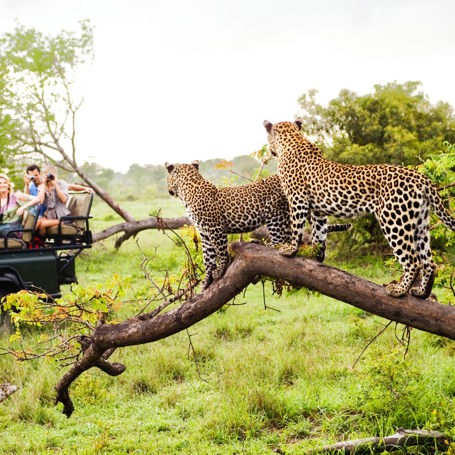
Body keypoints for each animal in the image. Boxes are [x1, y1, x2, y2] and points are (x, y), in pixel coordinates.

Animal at [166, 160, 350, 288]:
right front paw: (205, 282)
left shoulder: (215, 229)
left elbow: (221, 252)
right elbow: (208, 258)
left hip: (275, 214)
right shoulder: (204, 234)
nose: (169, 191)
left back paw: (265, 244)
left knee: (280, 241)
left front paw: (220, 271)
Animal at [264, 119, 455, 302]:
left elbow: (296, 226)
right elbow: (319, 232)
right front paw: (316, 255)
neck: (292, 140)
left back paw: (399, 290)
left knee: (413, 261)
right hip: (419, 223)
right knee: (429, 262)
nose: (268, 152)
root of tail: (422, 178)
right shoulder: (318, 210)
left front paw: (290, 249)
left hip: (394, 220)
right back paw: (421, 293)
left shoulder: (297, 199)